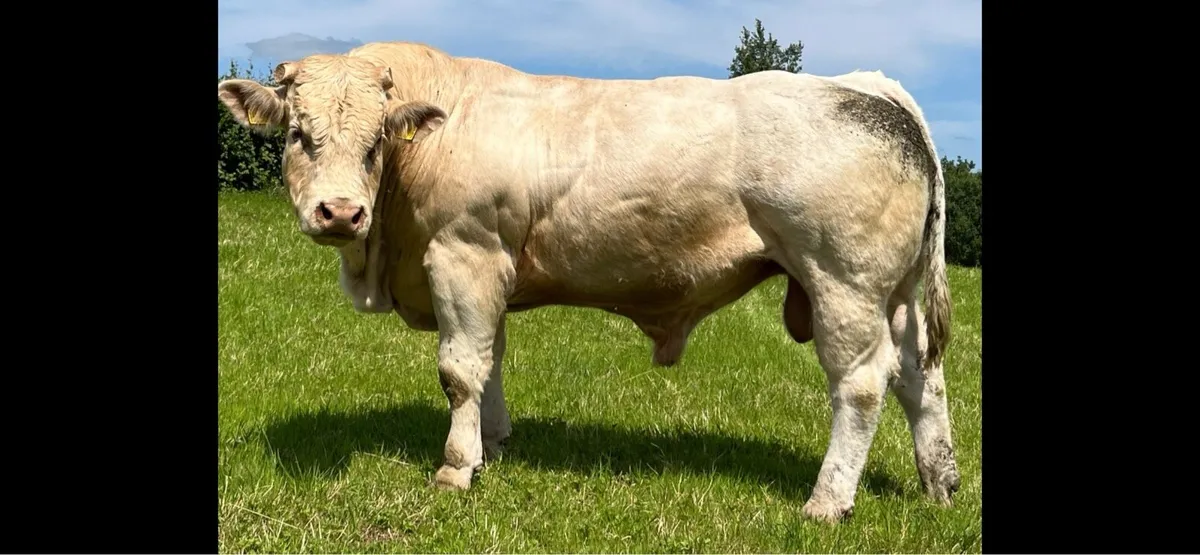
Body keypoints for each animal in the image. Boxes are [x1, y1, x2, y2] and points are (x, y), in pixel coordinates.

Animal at [216, 41, 959, 523]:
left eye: (375, 142)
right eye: (298, 135)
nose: (341, 212)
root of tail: (863, 84)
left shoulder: (463, 254)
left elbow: (460, 369)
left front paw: (456, 466)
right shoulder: (491, 269)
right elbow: (491, 359)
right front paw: (495, 443)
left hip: (844, 282)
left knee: (861, 385)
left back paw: (827, 502)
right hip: (895, 297)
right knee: (921, 376)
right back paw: (941, 483)